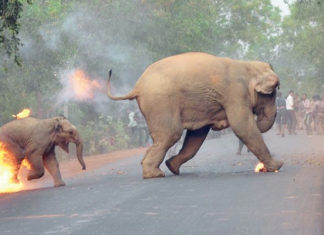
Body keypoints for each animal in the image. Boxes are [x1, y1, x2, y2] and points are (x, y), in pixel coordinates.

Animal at [107, 52, 284, 179]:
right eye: (272, 93)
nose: (259, 120)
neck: (247, 66)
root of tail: (137, 87)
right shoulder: (235, 93)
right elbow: (242, 126)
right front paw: (277, 166)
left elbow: (197, 135)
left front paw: (172, 166)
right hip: (160, 103)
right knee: (171, 134)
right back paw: (154, 174)